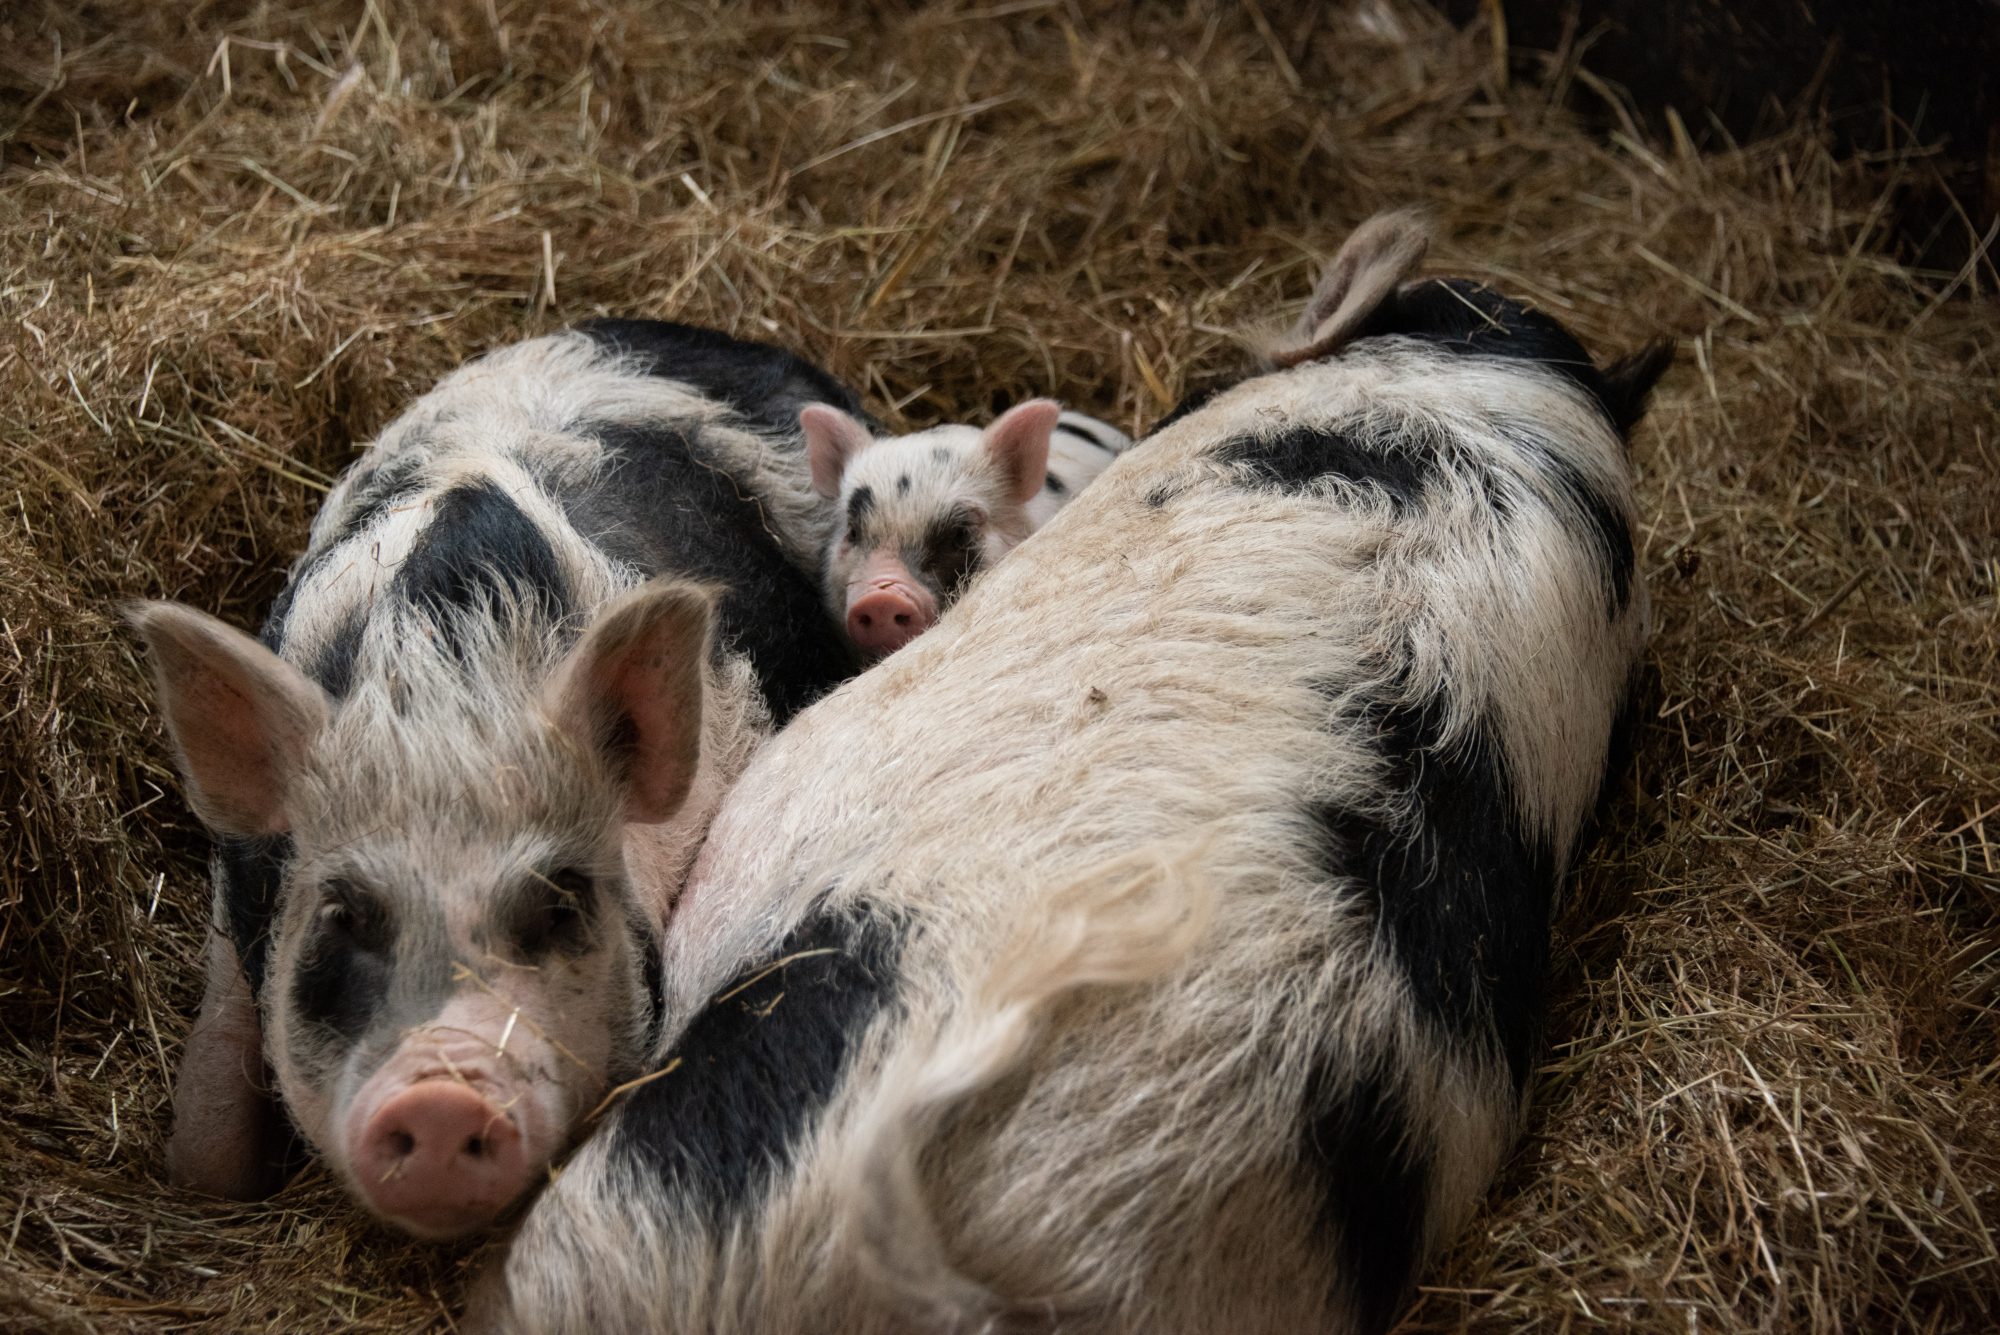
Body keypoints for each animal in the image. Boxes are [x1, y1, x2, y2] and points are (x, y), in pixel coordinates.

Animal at [131, 319, 868, 1239]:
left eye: (559, 902)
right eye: (342, 913)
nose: (443, 1093)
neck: (448, 690)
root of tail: (707, 335)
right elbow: (205, 1155)